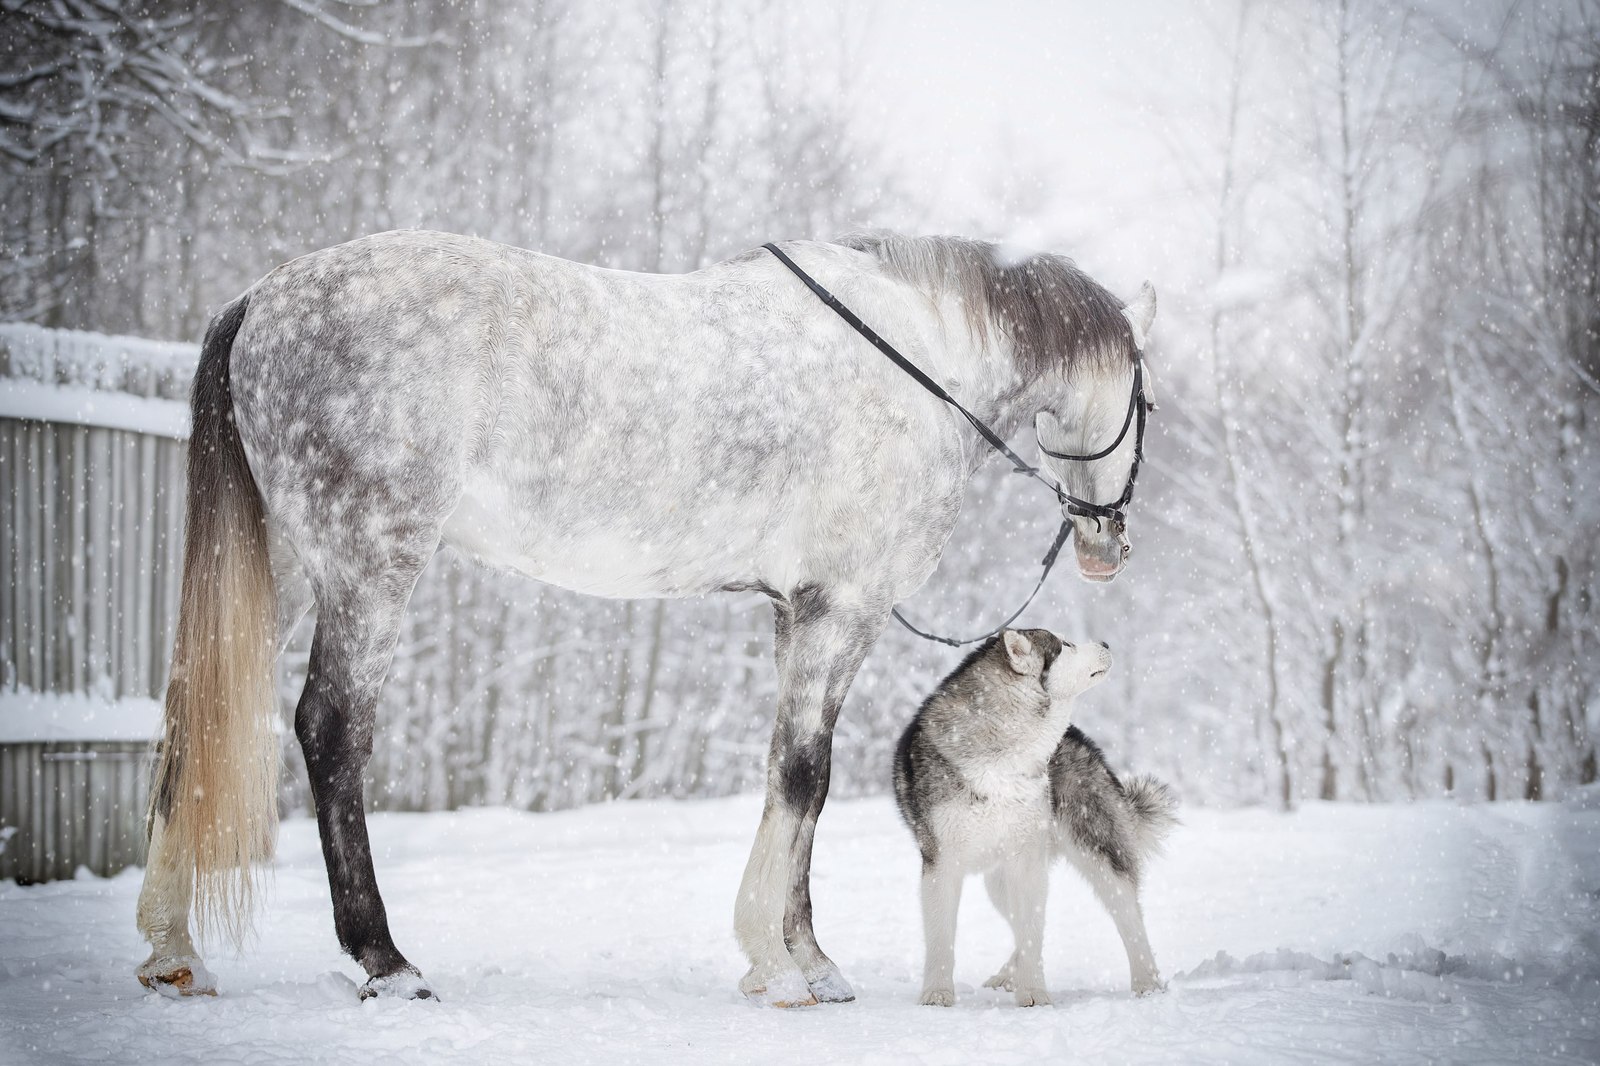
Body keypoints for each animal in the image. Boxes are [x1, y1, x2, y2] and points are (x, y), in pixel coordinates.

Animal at [134, 228, 1152, 998]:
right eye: (1145, 392)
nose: (1108, 547)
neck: (915, 360)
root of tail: (261, 299)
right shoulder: (842, 609)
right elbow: (804, 775)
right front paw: (775, 964)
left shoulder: (803, 615)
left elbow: (798, 775)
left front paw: (808, 959)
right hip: (369, 567)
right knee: (331, 730)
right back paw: (384, 961)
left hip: (288, 566)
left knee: (194, 722)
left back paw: (173, 953)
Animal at [896, 630, 1184, 1005]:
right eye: (1066, 645)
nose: (1106, 643)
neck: (1003, 757)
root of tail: (1078, 738)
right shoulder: (941, 864)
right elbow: (942, 936)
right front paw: (937, 993)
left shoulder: (1026, 859)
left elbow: (1032, 932)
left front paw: (1033, 992)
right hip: (999, 881)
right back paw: (1007, 975)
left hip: (1097, 852)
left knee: (1129, 917)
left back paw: (1147, 983)